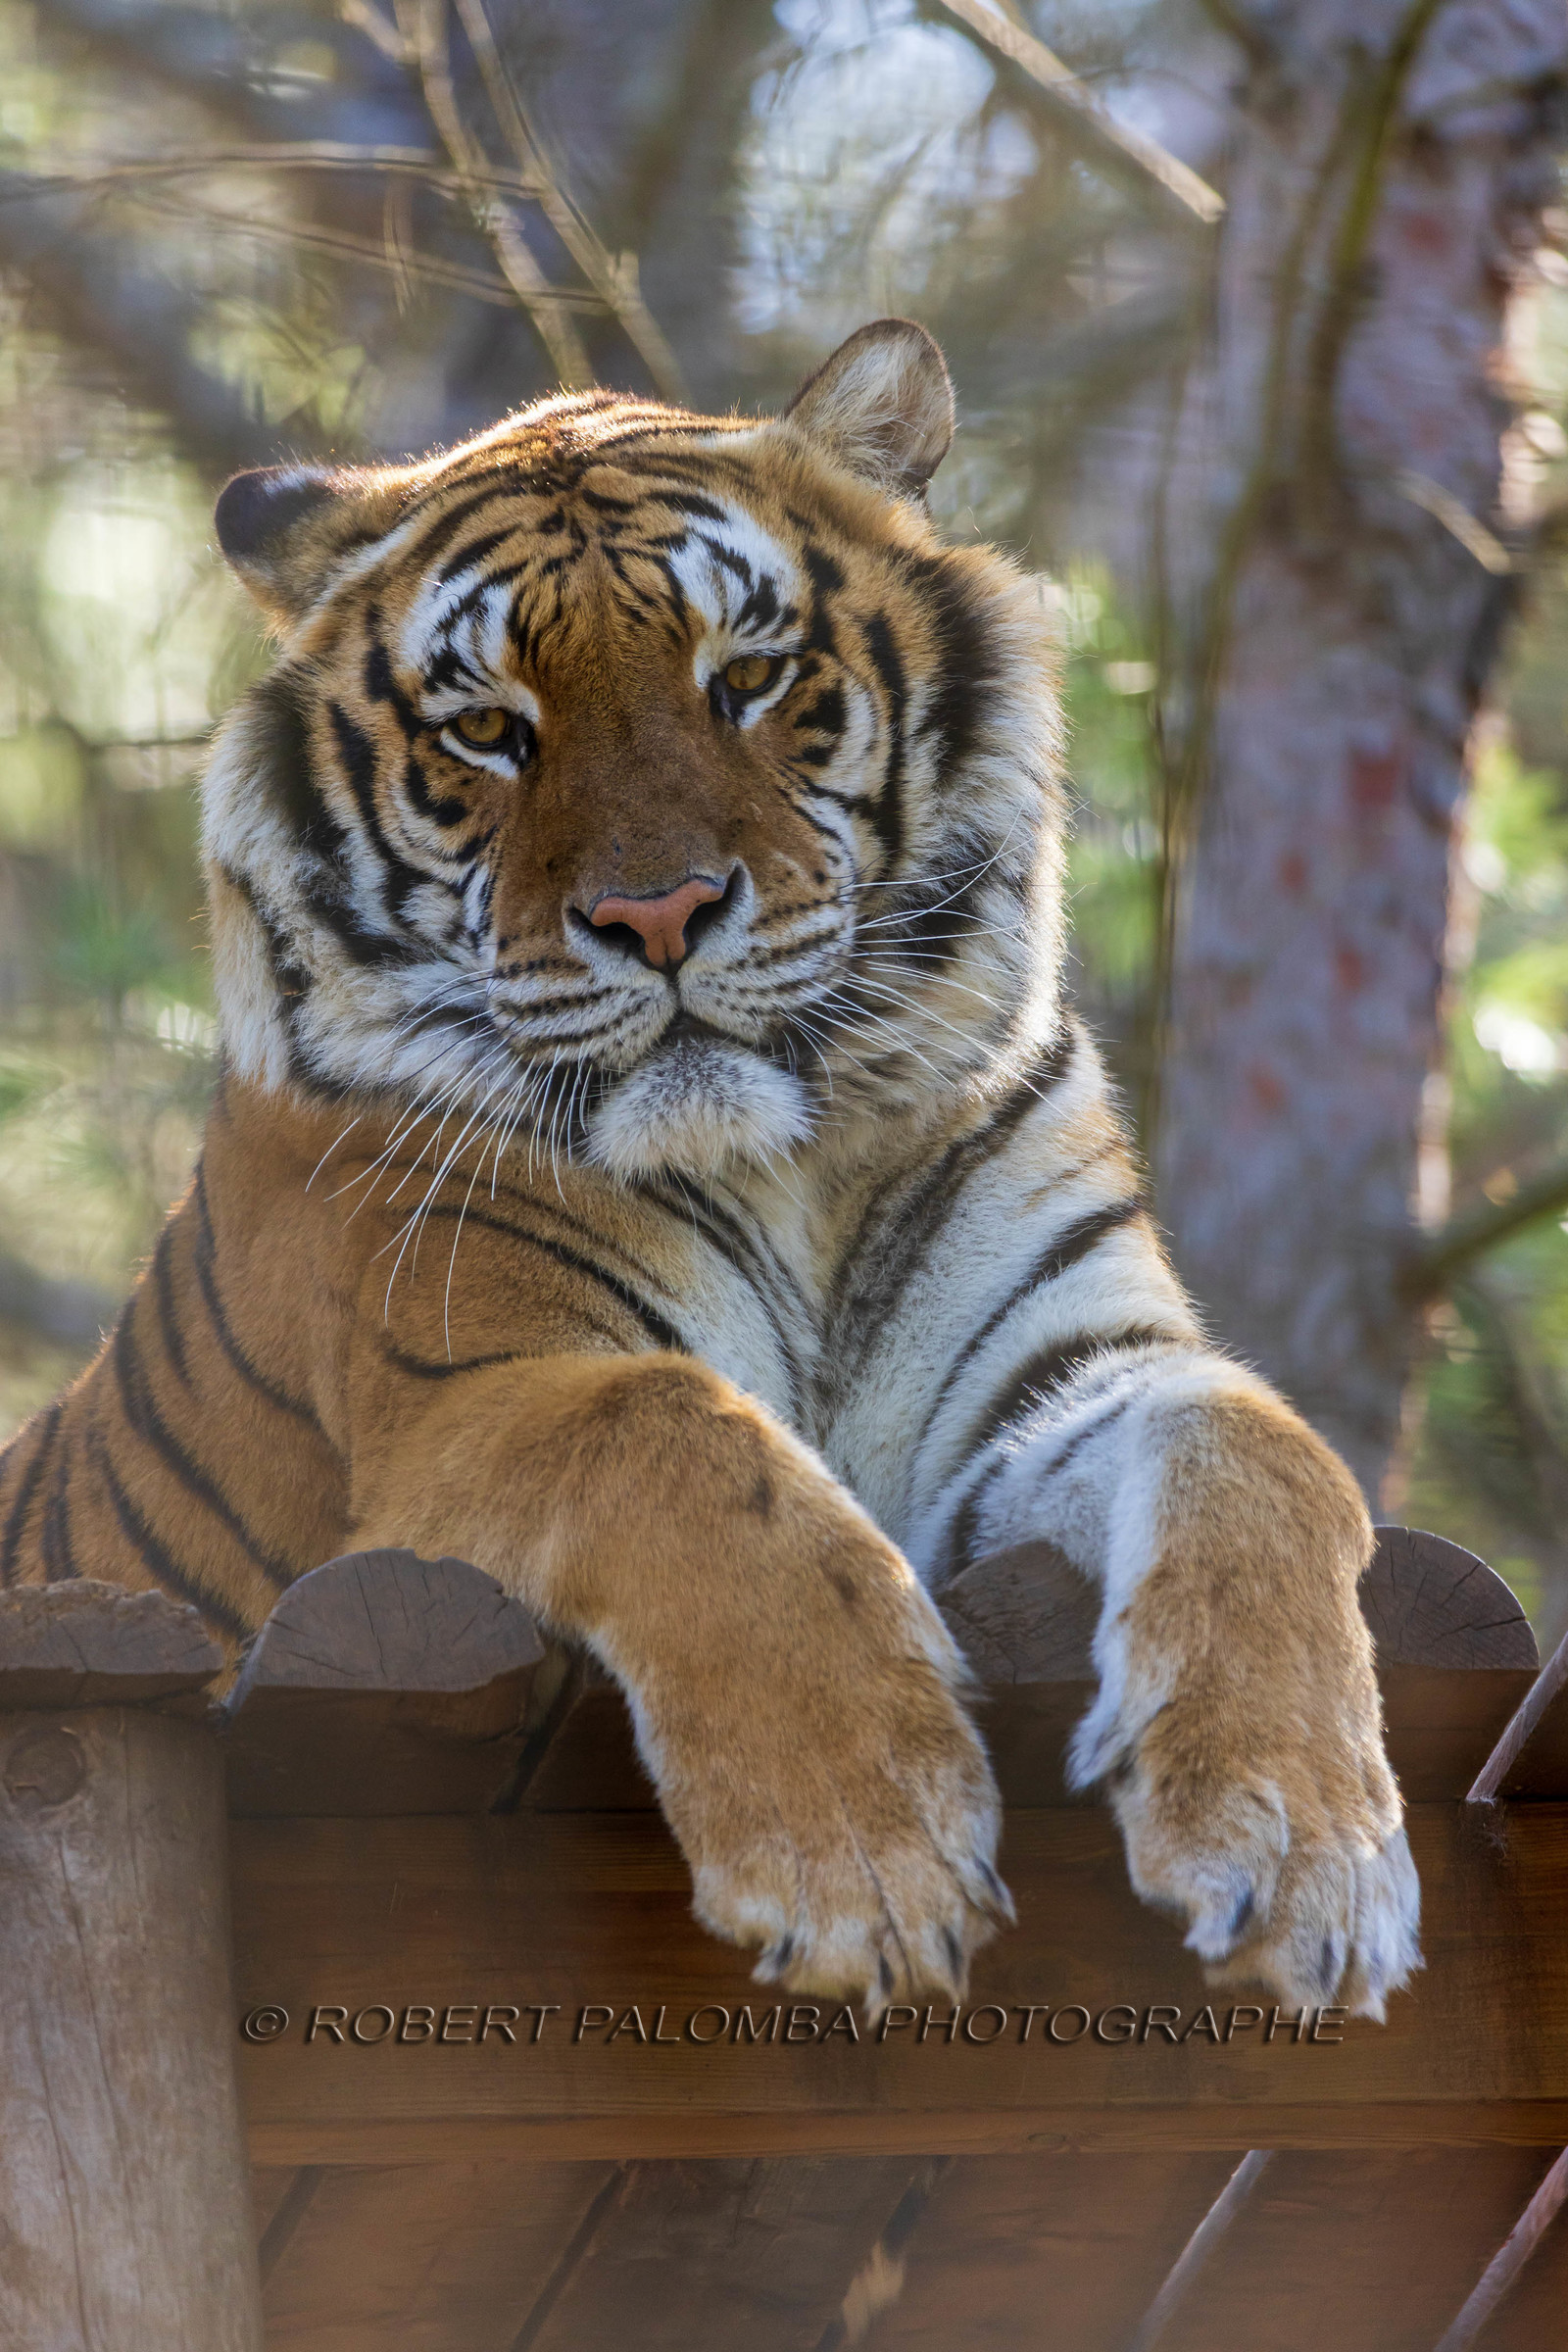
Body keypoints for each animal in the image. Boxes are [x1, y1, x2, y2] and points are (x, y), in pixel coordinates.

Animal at [0, 317, 1419, 2018]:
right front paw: (865, 1860)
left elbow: (1259, 1447)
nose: (659, 914)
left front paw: (1305, 1851)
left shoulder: (1055, 1373)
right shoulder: (463, 1401)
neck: (789, 1168)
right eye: (488, 728)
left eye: (746, 677)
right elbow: (674, 1431)